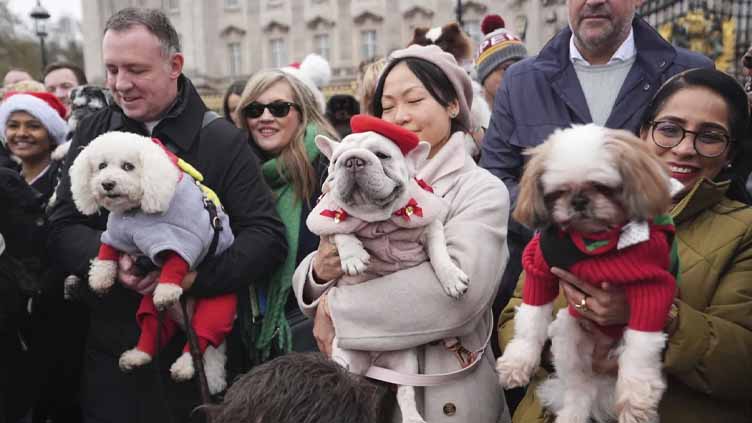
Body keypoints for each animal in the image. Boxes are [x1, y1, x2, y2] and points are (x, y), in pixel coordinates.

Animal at [70, 132, 236, 394]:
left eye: (128, 167)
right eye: (102, 166)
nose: (107, 184)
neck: (135, 214)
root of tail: (185, 317)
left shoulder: (182, 236)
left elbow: (176, 263)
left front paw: (167, 289)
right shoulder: (118, 232)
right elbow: (107, 250)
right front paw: (100, 277)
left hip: (217, 305)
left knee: (200, 341)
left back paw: (184, 367)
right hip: (152, 309)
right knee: (152, 328)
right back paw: (138, 355)